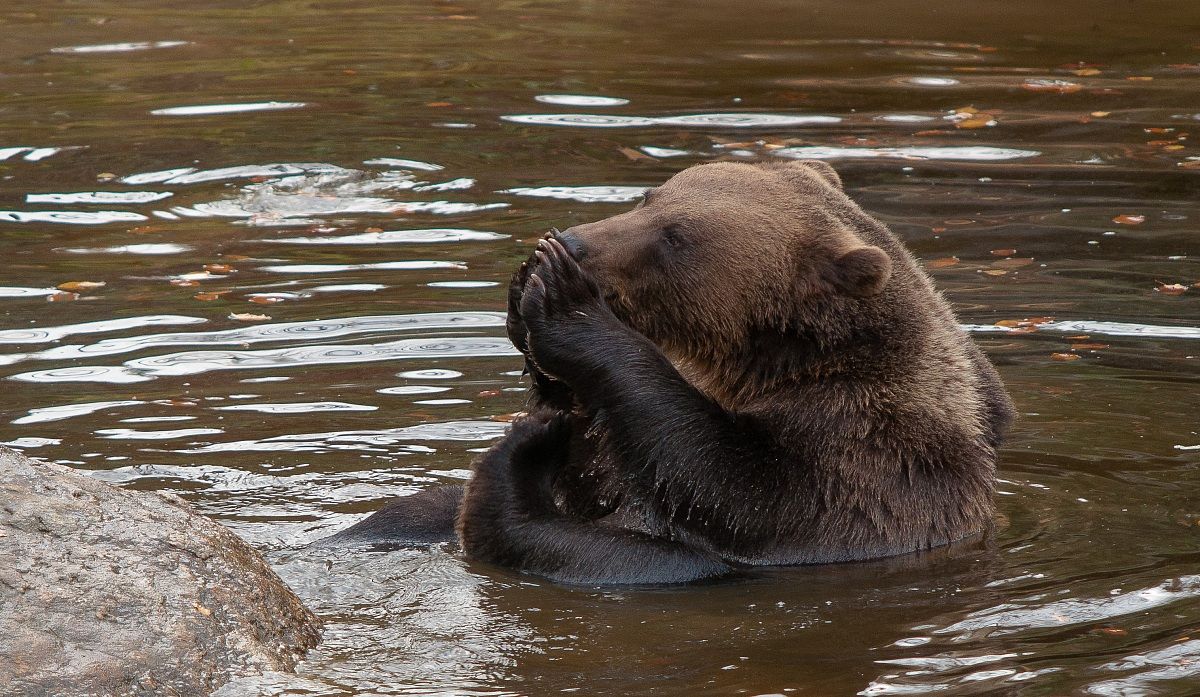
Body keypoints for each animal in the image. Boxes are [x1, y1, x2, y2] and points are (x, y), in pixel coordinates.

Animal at [322, 160, 1014, 587]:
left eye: (674, 237)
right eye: (650, 196)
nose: (573, 244)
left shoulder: (860, 448)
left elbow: (730, 482)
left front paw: (563, 302)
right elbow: (597, 450)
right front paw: (529, 288)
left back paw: (516, 463)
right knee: (410, 512)